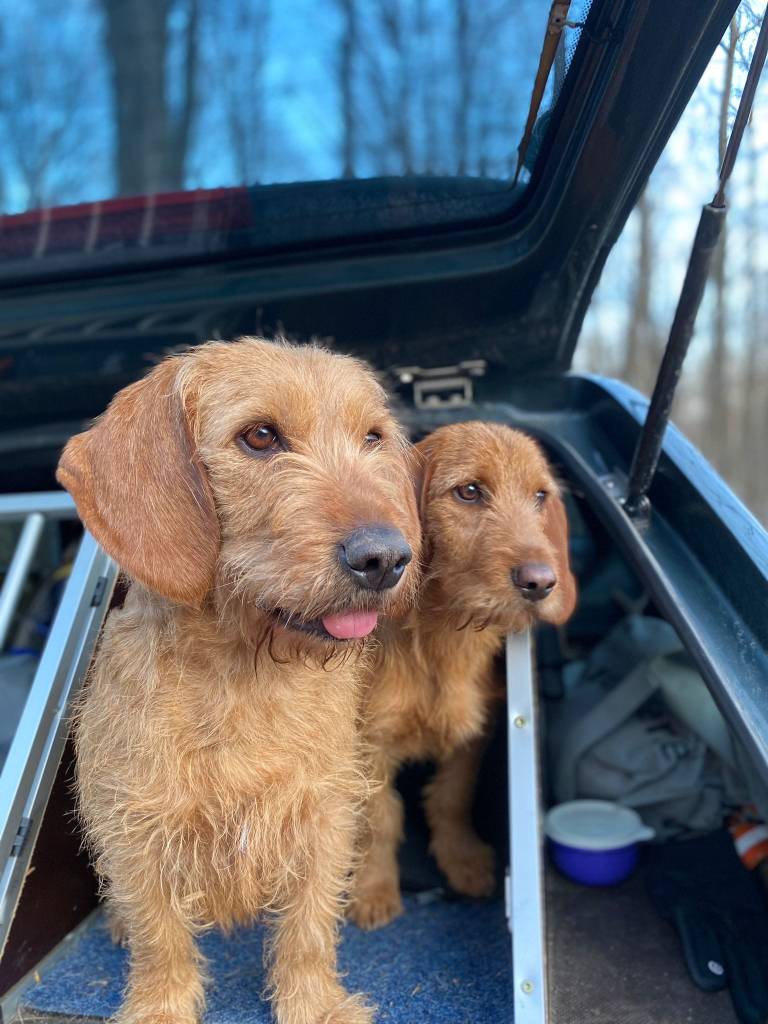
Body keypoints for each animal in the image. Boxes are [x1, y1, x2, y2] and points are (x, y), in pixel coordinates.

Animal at [57, 338, 421, 1024]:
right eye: (259, 436)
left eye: (373, 437)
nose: (386, 557)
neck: (245, 675)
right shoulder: (136, 827)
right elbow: (160, 938)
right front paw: (160, 1008)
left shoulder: (323, 813)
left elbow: (309, 929)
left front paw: (315, 1005)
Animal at [349, 421, 576, 929]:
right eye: (469, 491)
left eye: (540, 495)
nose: (541, 582)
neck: (444, 639)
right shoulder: (369, 744)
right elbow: (380, 818)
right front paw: (374, 888)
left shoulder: (475, 732)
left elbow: (452, 796)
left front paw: (462, 859)